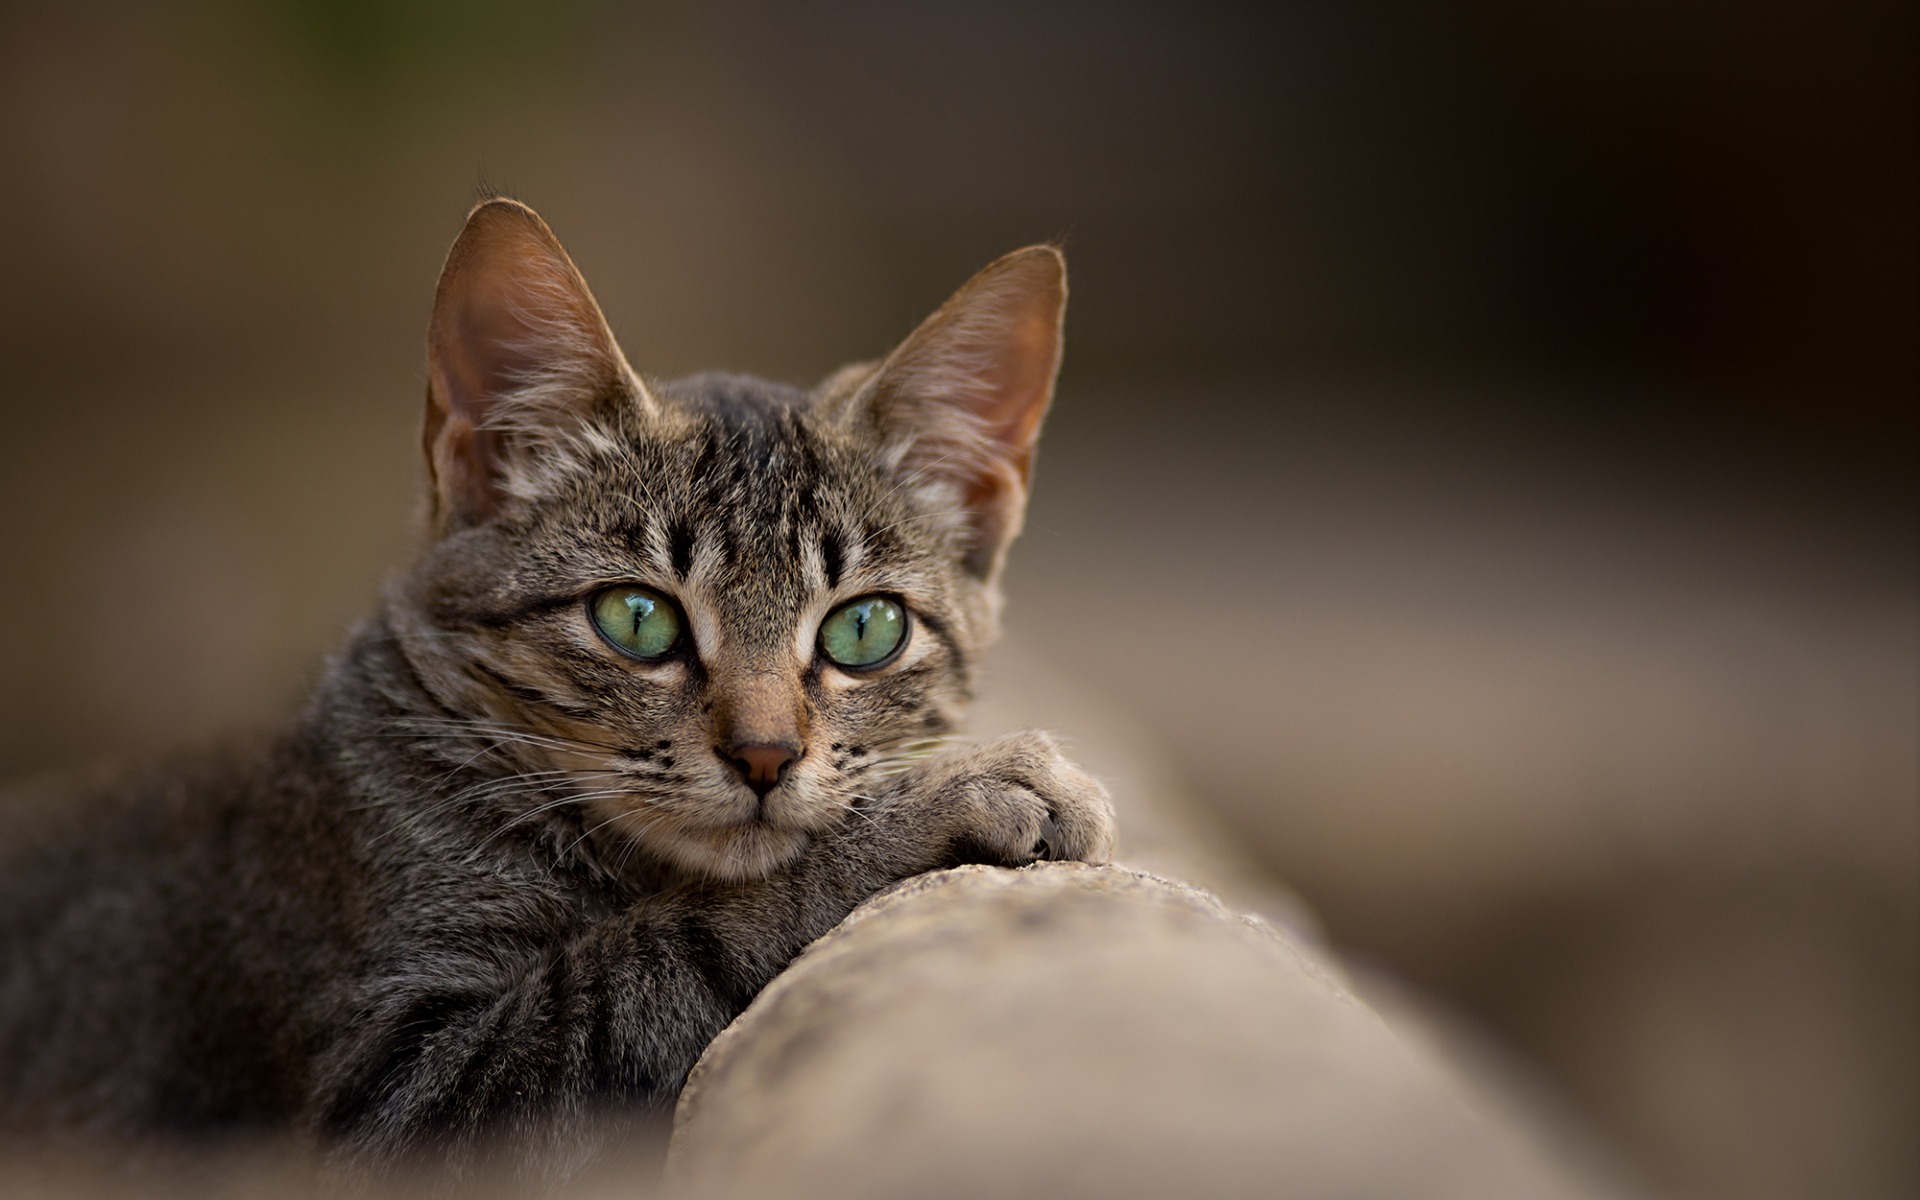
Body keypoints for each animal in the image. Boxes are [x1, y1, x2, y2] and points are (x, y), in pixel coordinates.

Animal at [0, 196, 1121, 1182]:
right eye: (636, 618)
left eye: (864, 628)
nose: (764, 755)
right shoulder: (405, 1093)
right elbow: (680, 941)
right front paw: (952, 796)